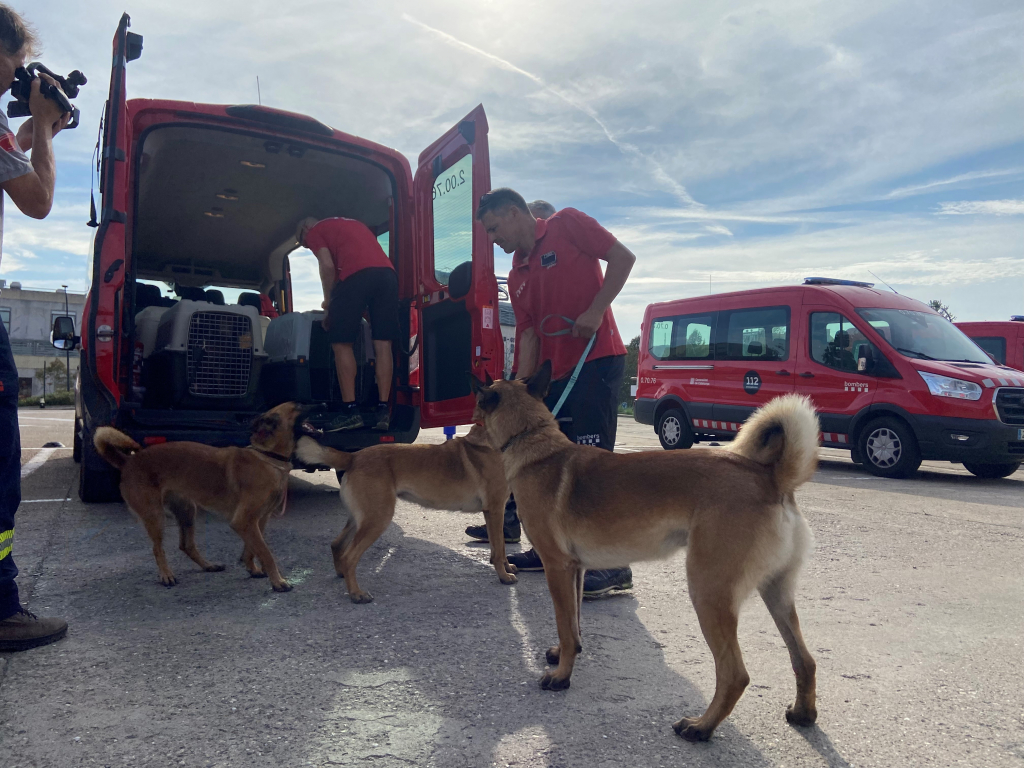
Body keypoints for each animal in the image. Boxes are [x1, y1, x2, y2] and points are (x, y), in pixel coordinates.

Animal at [92, 399, 307, 593]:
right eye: (298, 407)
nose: (315, 405)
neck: (268, 456)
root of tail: (128, 461)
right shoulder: (245, 521)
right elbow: (266, 552)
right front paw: (278, 582)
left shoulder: (258, 520)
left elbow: (252, 549)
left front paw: (252, 568)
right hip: (155, 516)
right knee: (157, 548)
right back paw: (166, 575)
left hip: (187, 512)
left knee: (186, 545)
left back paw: (208, 566)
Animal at [296, 423, 520, 606]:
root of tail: (354, 456)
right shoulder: (496, 509)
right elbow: (498, 548)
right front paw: (503, 576)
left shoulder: (492, 512)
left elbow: (499, 546)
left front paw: (507, 567)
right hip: (377, 519)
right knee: (349, 556)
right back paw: (356, 594)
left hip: (360, 518)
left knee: (337, 545)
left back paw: (342, 575)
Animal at [473, 364, 823, 745]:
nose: (470, 432)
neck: (534, 440)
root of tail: (771, 479)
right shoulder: (575, 571)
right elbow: (575, 623)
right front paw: (567, 653)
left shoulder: (556, 567)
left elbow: (565, 626)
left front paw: (562, 675)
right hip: (776, 593)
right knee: (805, 660)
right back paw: (803, 713)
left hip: (708, 592)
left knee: (735, 675)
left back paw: (701, 726)